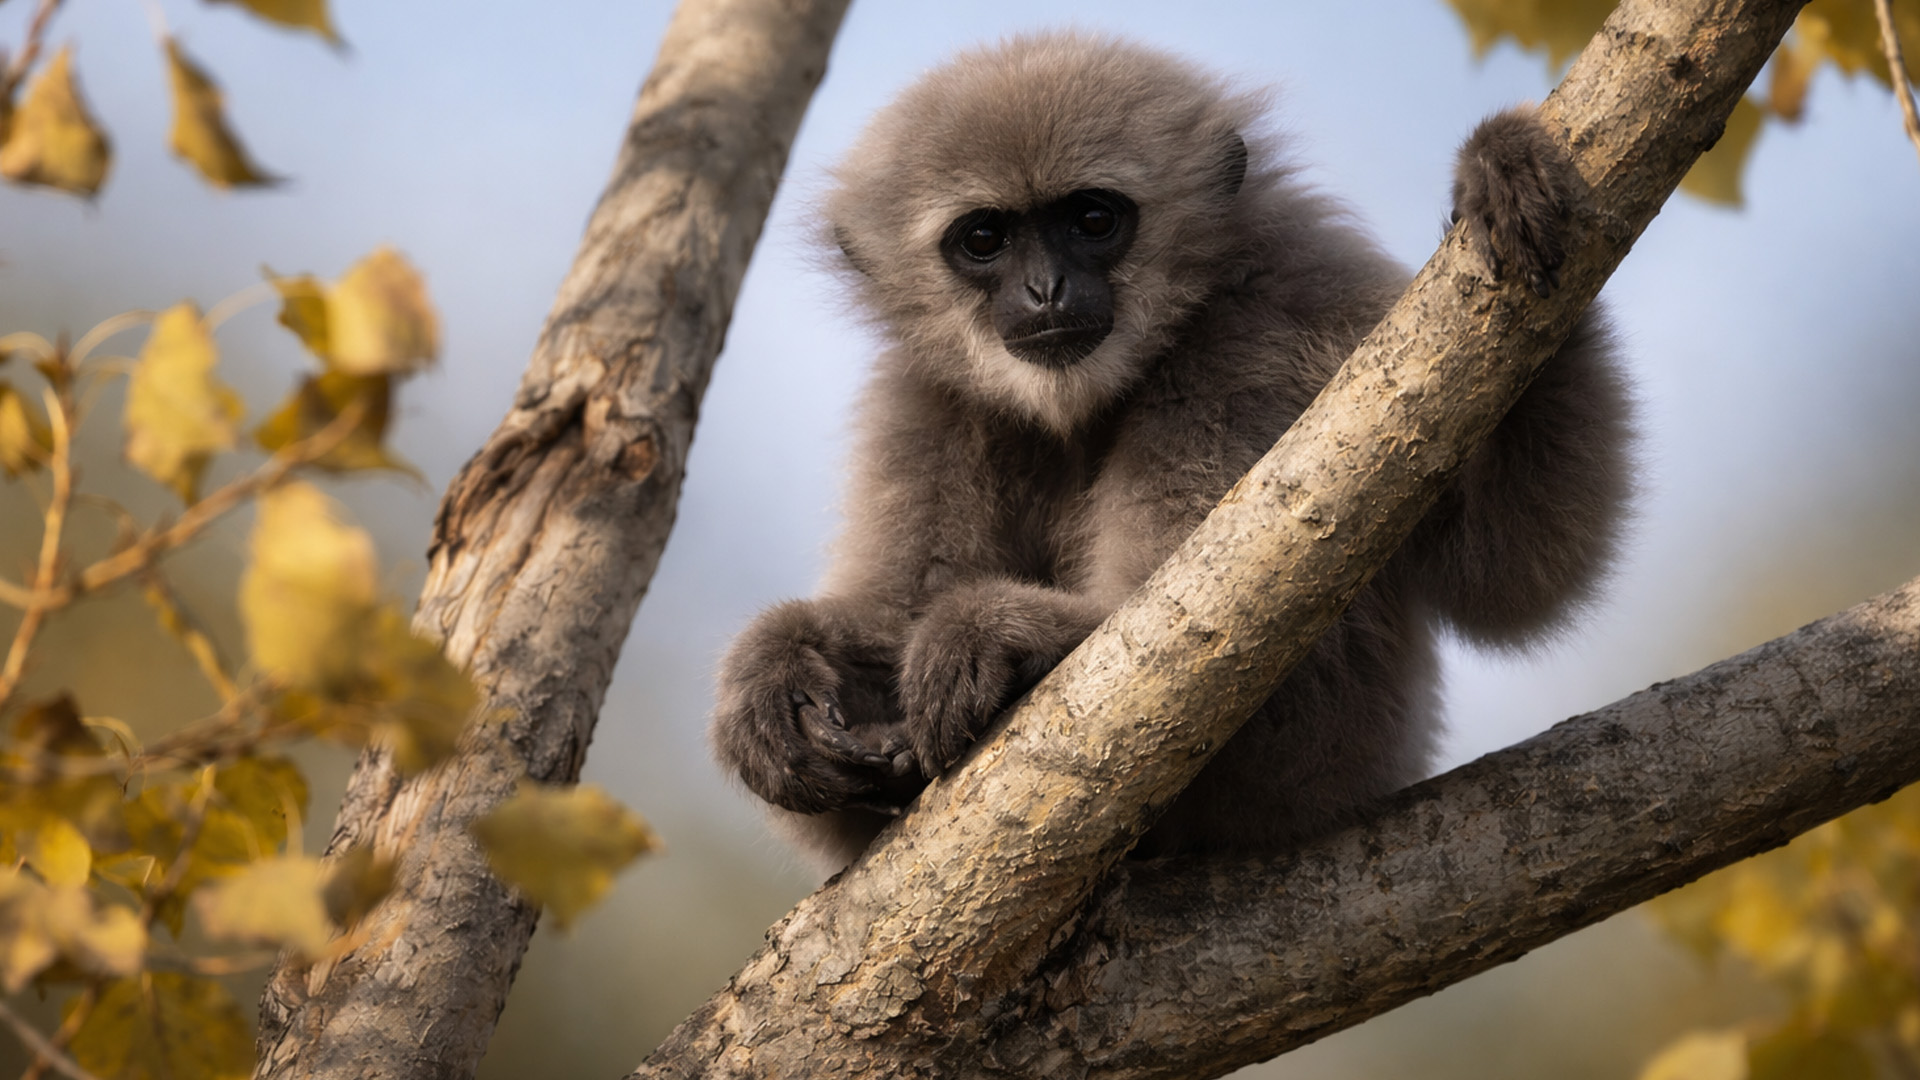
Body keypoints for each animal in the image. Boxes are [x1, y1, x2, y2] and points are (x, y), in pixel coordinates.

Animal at [711, 32, 1633, 871]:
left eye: (1093, 219)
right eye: (984, 240)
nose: (1044, 288)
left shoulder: (1260, 329)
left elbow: (1511, 575)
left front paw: (992, 634)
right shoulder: (929, 400)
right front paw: (779, 664)